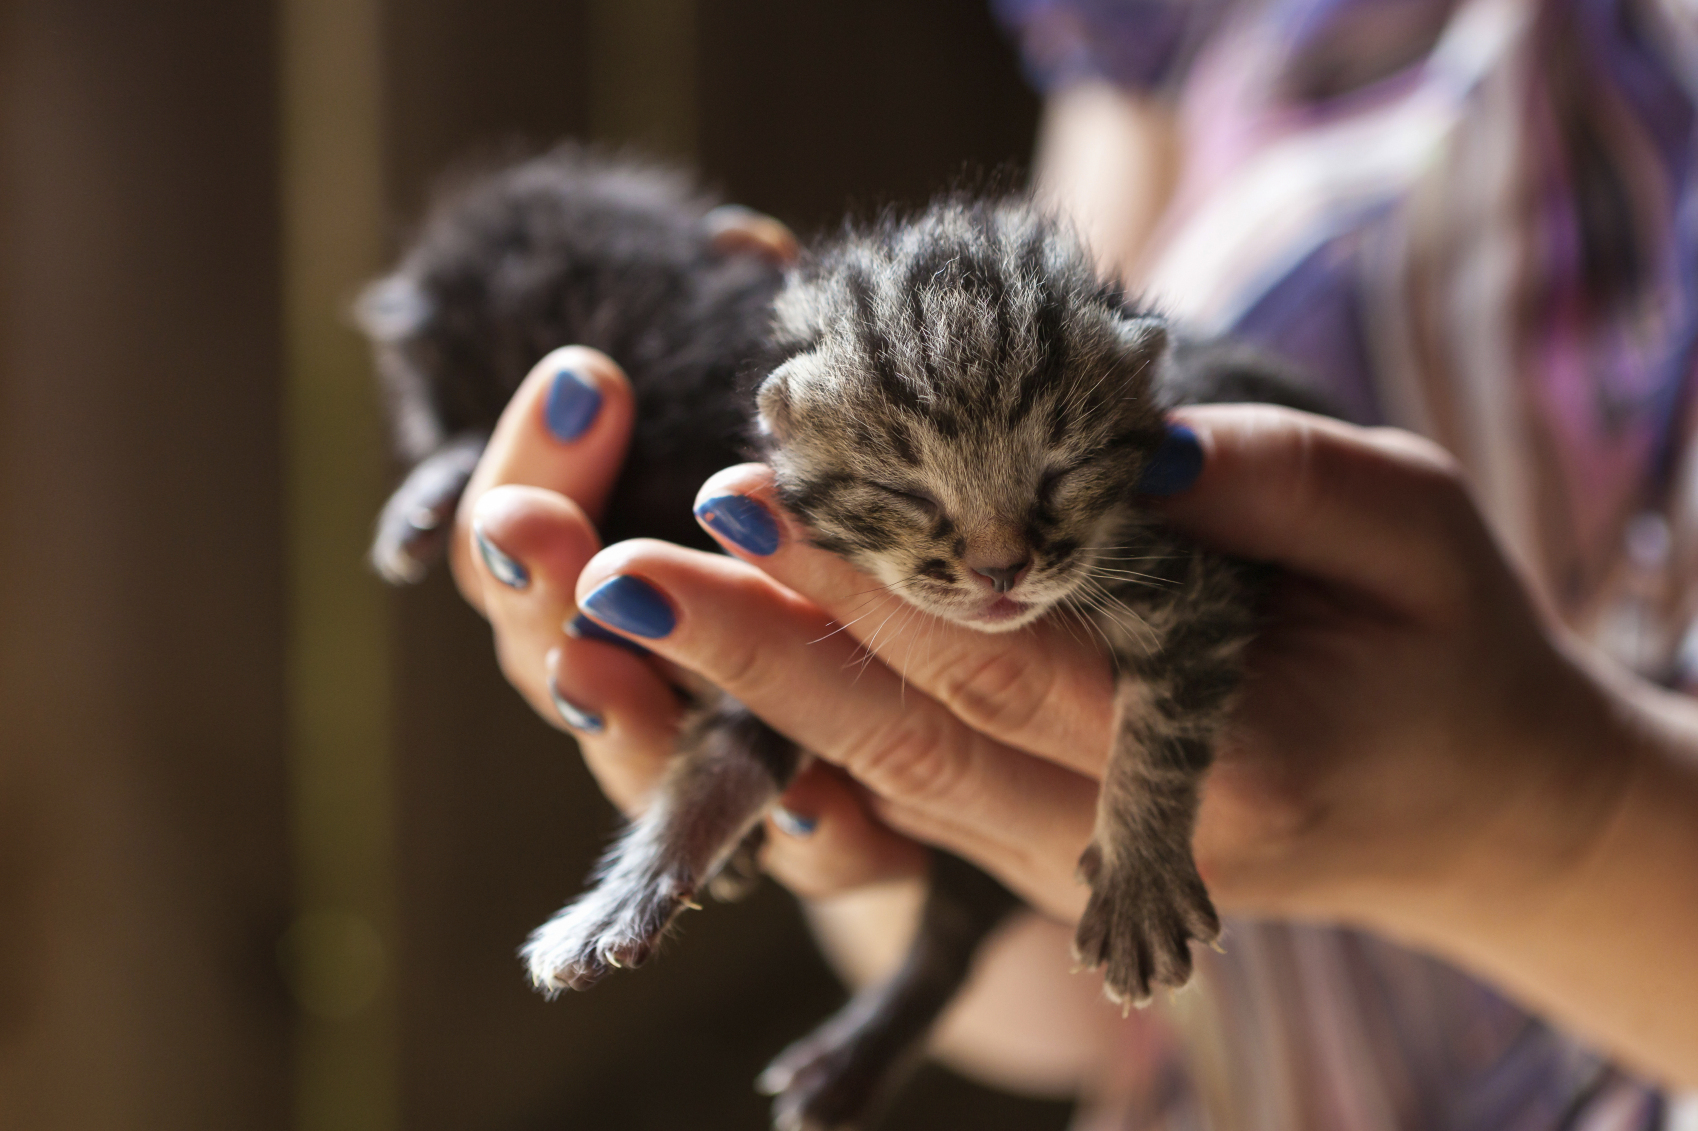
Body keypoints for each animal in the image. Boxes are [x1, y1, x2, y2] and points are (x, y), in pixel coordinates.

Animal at [361, 147, 1324, 1127]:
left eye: (1063, 472)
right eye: (908, 492)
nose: (1000, 570)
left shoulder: (1185, 578)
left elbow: (1162, 730)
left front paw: (1139, 878)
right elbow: (721, 764)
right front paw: (632, 889)